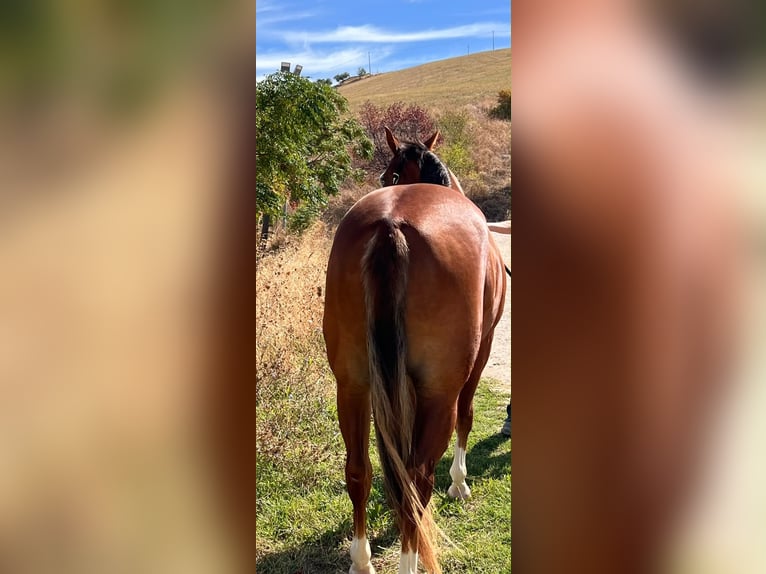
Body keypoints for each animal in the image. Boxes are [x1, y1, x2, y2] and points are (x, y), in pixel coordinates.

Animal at [323, 129, 507, 574]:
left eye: (388, 174)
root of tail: (391, 225)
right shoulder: (483, 350)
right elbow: (467, 415)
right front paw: (459, 483)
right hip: (439, 392)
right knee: (417, 477)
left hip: (351, 385)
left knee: (360, 470)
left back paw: (362, 560)